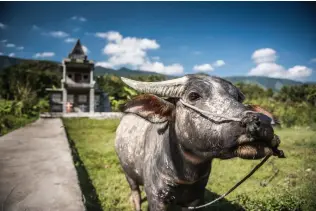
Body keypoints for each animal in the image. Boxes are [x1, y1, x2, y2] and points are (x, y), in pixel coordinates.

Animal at [115, 74, 280, 211]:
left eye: (237, 98)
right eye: (194, 95)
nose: (263, 122)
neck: (186, 175)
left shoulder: (196, 199)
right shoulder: (156, 199)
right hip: (128, 174)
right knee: (135, 195)